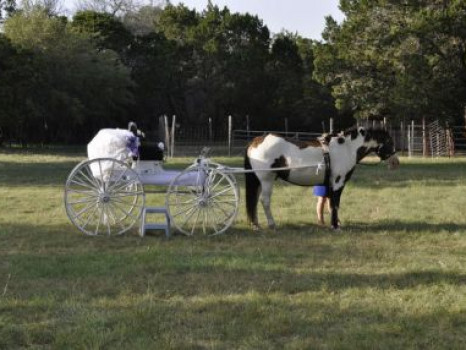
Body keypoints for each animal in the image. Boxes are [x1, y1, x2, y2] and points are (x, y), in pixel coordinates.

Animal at [244, 126, 400, 230]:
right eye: (389, 141)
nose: (395, 162)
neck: (347, 149)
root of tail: (256, 141)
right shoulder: (338, 183)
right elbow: (335, 204)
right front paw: (335, 226)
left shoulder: (330, 184)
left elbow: (331, 204)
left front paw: (334, 223)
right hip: (267, 180)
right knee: (264, 201)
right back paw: (271, 224)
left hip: (258, 182)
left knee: (254, 201)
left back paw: (255, 224)